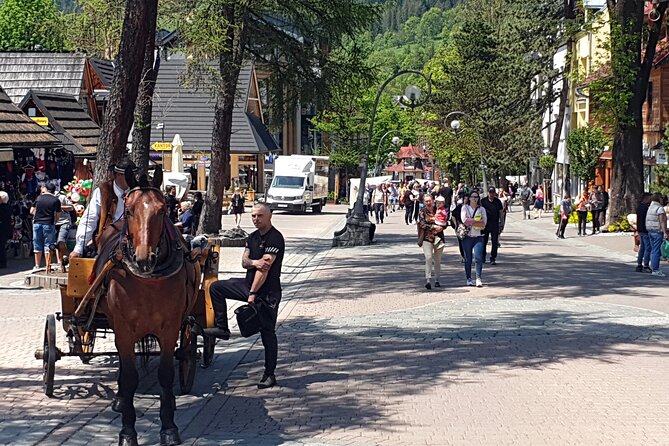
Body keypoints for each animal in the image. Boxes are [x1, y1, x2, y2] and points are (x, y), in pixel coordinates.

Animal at [96, 167, 201, 446]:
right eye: (130, 210)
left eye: (163, 210)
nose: (145, 258)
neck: (147, 280)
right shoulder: (123, 330)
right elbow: (130, 376)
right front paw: (127, 431)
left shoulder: (169, 329)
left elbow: (165, 374)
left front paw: (168, 427)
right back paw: (120, 399)